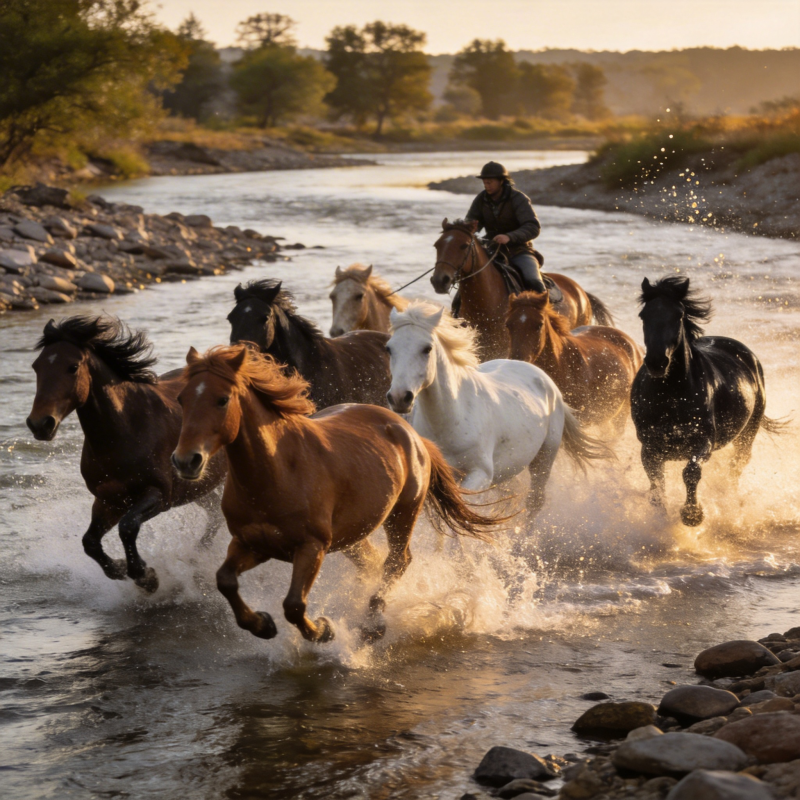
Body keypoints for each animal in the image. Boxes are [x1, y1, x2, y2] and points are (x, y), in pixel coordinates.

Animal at [26, 316, 226, 591]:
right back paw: (198, 553)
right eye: (36, 366)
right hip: (197, 487)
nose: (39, 424)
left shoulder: (159, 494)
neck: (126, 432)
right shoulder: (109, 500)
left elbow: (127, 527)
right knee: (215, 512)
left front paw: (145, 576)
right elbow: (90, 541)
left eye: (72, 367)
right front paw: (120, 569)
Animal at [171, 344, 498, 643]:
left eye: (222, 399)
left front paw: (323, 630)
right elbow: (224, 580)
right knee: (373, 562)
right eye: (181, 398)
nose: (186, 460)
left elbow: (293, 605)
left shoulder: (311, 547)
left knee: (397, 561)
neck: (276, 473)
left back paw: (372, 623)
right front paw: (262, 624)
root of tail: (413, 435)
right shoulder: (252, 544)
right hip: (352, 535)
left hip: (403, 513)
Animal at [385, 302, 610, 514]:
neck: (451, 419)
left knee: (535, 501)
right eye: (389, 348)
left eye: (427, 348)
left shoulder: (480, 475)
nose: (399, 397)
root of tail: (548, 382)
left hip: (545, 458)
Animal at [506, 291, 643, 433]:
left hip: (621, 415)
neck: (562, 366)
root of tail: (633, 345)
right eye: (508, 324)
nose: (517, 360)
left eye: (539, 325)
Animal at [632, 276, 785, 526]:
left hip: (747, 433)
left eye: (679, 315)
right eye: (643, 315)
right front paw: (661, 516)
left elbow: (691, 472)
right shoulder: (650, 448)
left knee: (736, 467)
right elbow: (656, 486)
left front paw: (692, 514)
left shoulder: (703, 442)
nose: (656, 362)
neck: (669, 396)